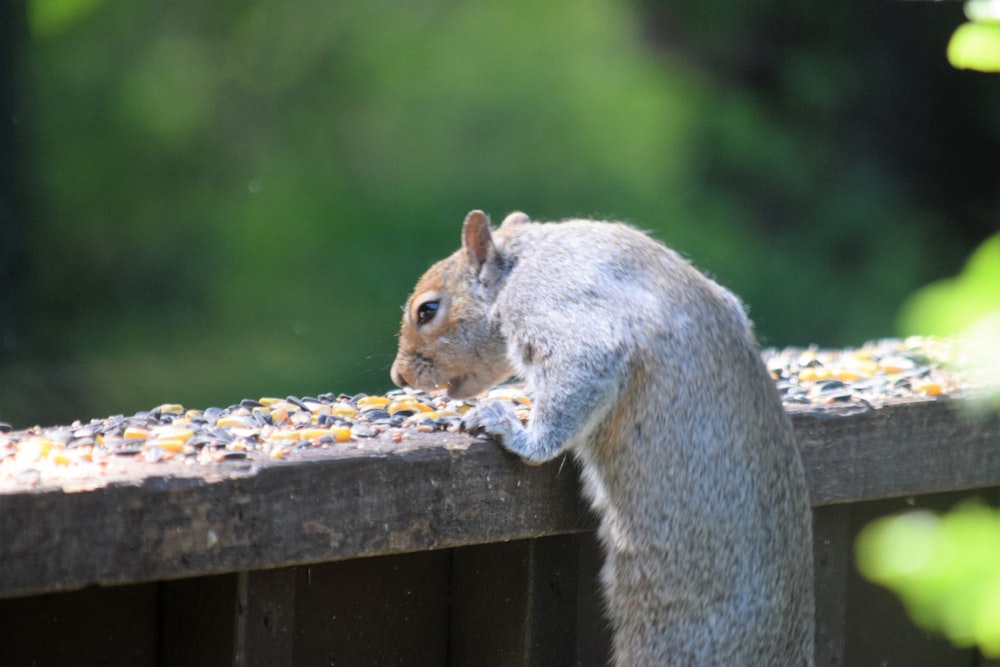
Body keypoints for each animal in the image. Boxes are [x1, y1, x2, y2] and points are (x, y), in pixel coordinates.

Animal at [388, 211, 812, 667]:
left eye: (427, 310)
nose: (399, 376)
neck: (522, 262)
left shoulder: (550, 299)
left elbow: (584, 361)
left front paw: (518, 433)